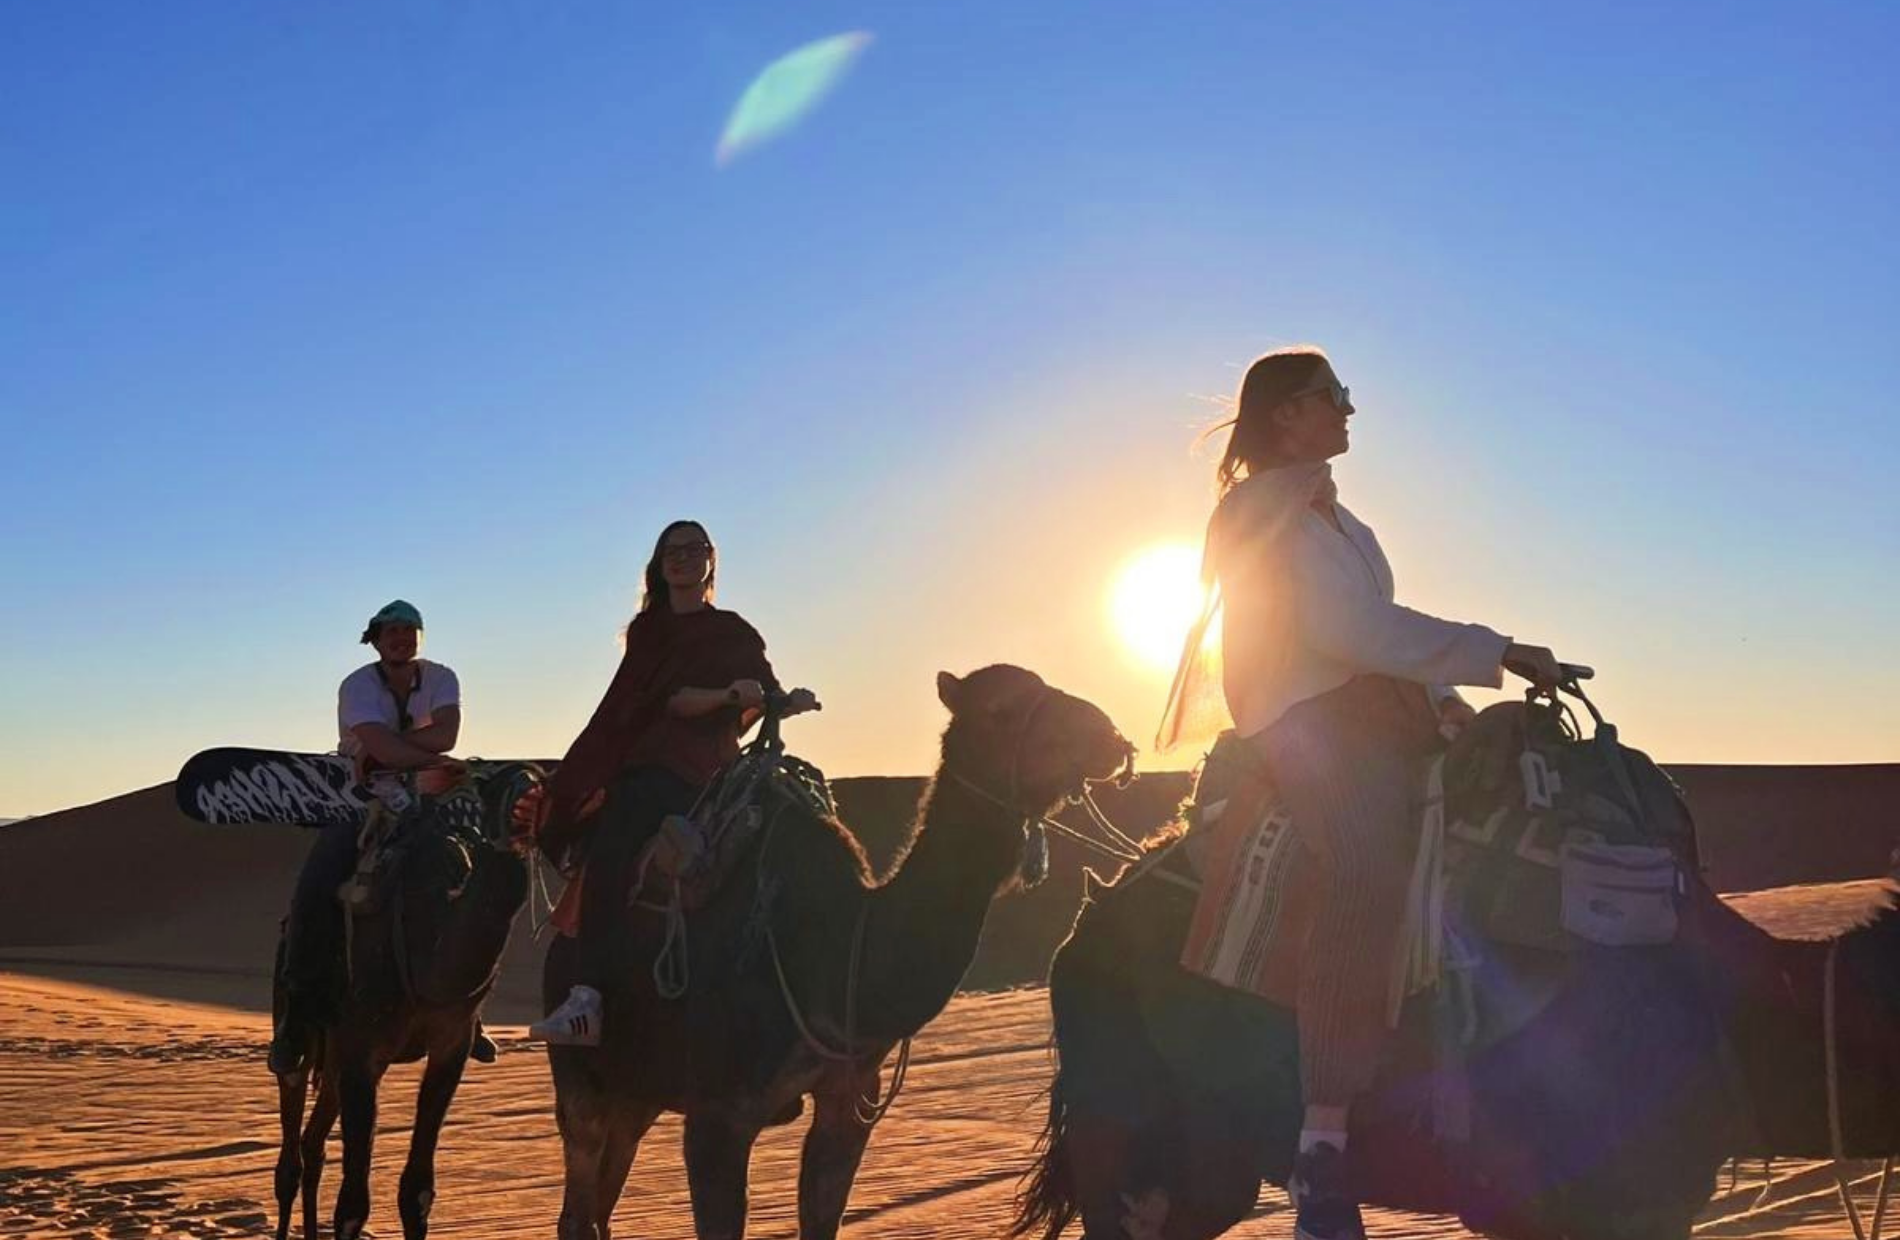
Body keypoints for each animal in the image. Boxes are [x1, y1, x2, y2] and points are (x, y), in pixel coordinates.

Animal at [267, 763, 539, 1238]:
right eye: (493, 788)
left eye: (538, 782)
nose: (527, 799)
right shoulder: (363, 1053)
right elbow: (352, 1205)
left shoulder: (451, 1044)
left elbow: (417, 1192)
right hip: (298, 1030)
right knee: (290, 1158)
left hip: (334, 1059)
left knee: (313, 1144)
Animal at [543, 668, 1132, 1238]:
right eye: (1002, 708)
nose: (1109, 735)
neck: (840, 947)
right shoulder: (718, 1114)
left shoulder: (848, 1104)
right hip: (583, 1076)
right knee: (578, 1205)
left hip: (637, 1089)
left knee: (601, 1206)